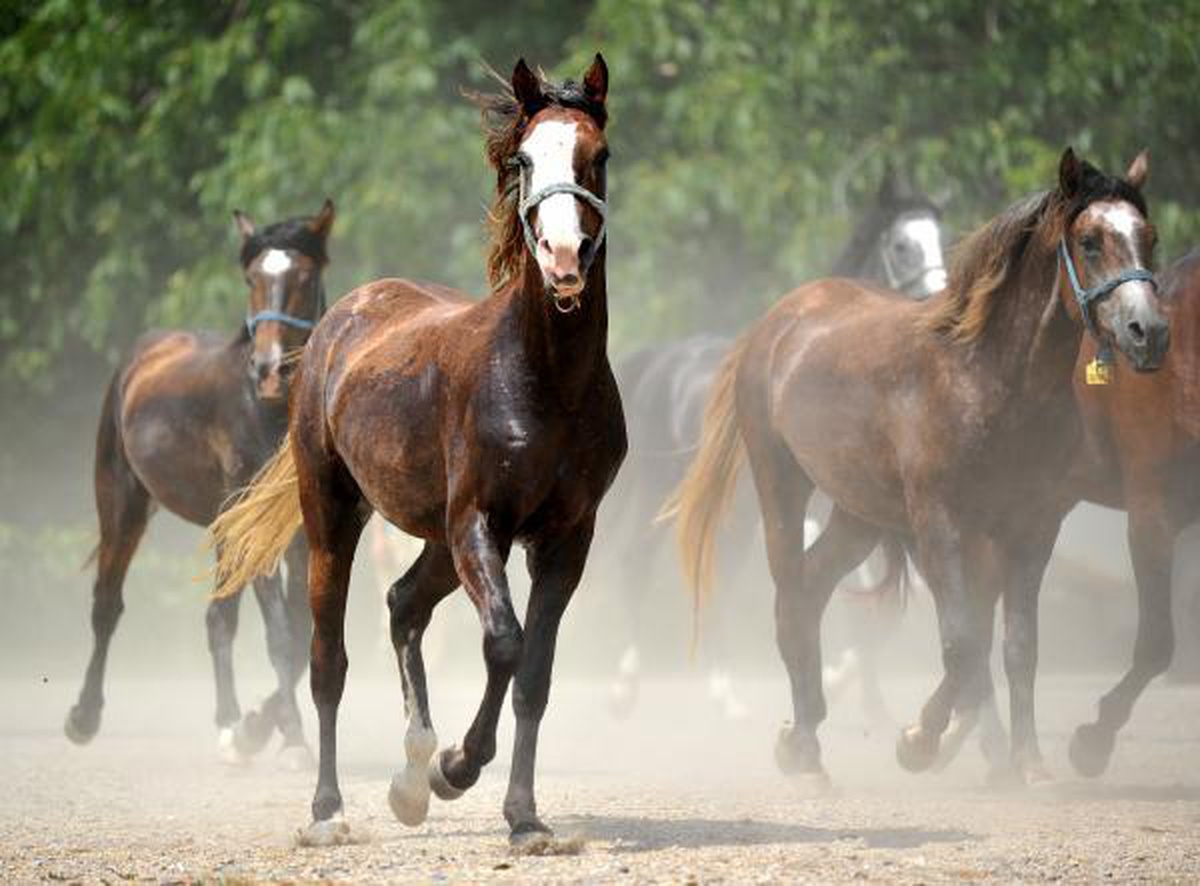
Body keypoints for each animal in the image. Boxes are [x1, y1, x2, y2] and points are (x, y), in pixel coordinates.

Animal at [65, 201, 334, 769]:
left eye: (304, 276)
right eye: (252, 277)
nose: (269, 369)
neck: (268, 410)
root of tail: (141, 356)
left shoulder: (298, 533)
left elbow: (301, 629)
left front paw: (256, 729)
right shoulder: (255, 532)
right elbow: (281, 634)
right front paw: (294, 740)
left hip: (222, 526)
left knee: (218, 620)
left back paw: (230, 724)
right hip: (123, 503)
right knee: (107, 604)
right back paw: (83, 717)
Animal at [210, 56, 622, 847]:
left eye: (599, 156)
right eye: (526, 159)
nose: (563, 259)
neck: (543, 379)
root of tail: (342, 318)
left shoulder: (567, 538)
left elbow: (536, 674)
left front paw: (523, 818)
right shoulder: (480, 525)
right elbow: (504, 644)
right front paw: (456, 768)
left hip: (434, 536)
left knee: (403, 605)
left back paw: (407, 778)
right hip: (335, 518)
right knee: (327, 661)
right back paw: (331, 809)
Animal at [603, 170, 947, 717]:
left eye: (941, 235)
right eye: (901, 244)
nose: (941, 304)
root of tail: (659, 361)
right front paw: (844, 685)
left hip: (737, 517)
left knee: (714, 577)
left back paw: (724, 691)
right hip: (661, 496)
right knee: (635, 564)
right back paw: (627, 688)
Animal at [668, 148, 1166, 789]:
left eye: (1148, 237)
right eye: (1089, 240)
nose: (1149, 332)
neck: (989, 379)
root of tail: (776, 322)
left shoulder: (1032, 530)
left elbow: (1018, 648)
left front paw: (1028, 764)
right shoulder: (941, 527)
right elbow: (963, 644)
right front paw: (921, 742)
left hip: (857, 515)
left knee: (813, 586)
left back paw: (802, 737)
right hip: (781, 486)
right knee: (791, 596)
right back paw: (805, 753)